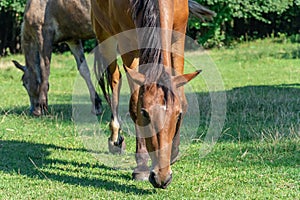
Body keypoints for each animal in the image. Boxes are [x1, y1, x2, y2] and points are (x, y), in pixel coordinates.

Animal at [91, 0, 213, 188]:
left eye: (178, 115)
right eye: (145, 114)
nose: (162, 177)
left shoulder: (178, 35)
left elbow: (182, 97)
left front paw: (174, 152)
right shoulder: (128, 45)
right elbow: (134, 102)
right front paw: (141, 166)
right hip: (104, 35)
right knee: (115, 78)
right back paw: (115, 137)